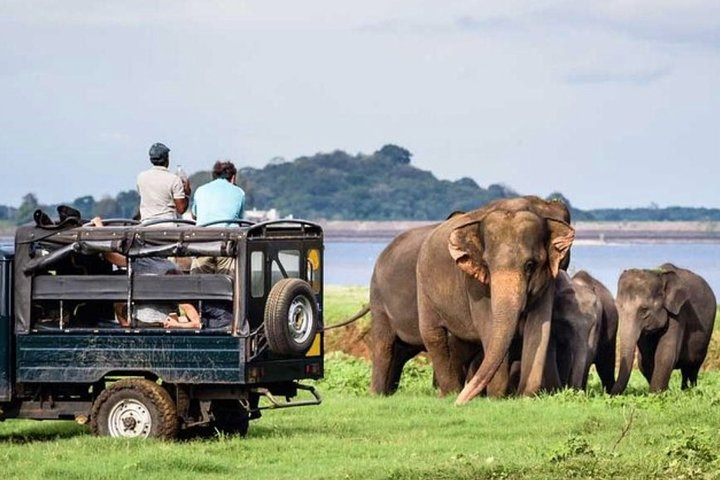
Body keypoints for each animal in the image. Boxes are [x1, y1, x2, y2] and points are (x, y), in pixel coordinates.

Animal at [416, 197, 572, 404]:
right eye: (487, 265)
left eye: (530, 265)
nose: (459, 404)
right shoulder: (474, 284)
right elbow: (488, 327)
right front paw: (496, 398)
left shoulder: (547, 281)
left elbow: (539, 328)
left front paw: (525, 396)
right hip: (423, 287)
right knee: (433, 335)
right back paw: (450, 394)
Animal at [612, 262, 716, 394]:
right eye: (617, 307)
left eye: (644, 310)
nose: (608, 393)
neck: (659, 274)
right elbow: (644, 360)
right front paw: (663, 392)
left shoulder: (678, 313)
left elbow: (665, 354)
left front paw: (656, 394)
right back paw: (684, 389)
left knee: (693, 366)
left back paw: (690, 390)